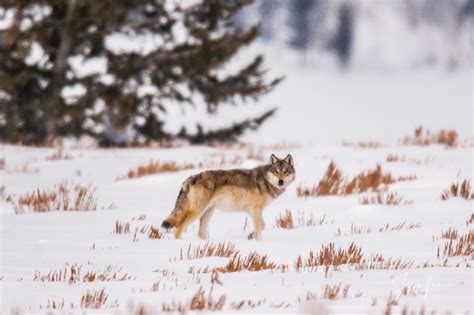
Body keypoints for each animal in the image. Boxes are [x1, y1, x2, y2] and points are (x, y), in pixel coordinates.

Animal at [161, 154, 294, 241]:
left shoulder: (251, 210)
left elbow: (262, 225)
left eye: (285, 172)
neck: (266, 181)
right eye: (276, 172)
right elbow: (259, 228)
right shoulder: (256, 210)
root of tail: (189, 179)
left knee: (200, 233)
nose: (281, 181)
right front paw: (259, 242)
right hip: (197, 212)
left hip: (209, 212)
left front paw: (250, 236)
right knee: (179, 228)